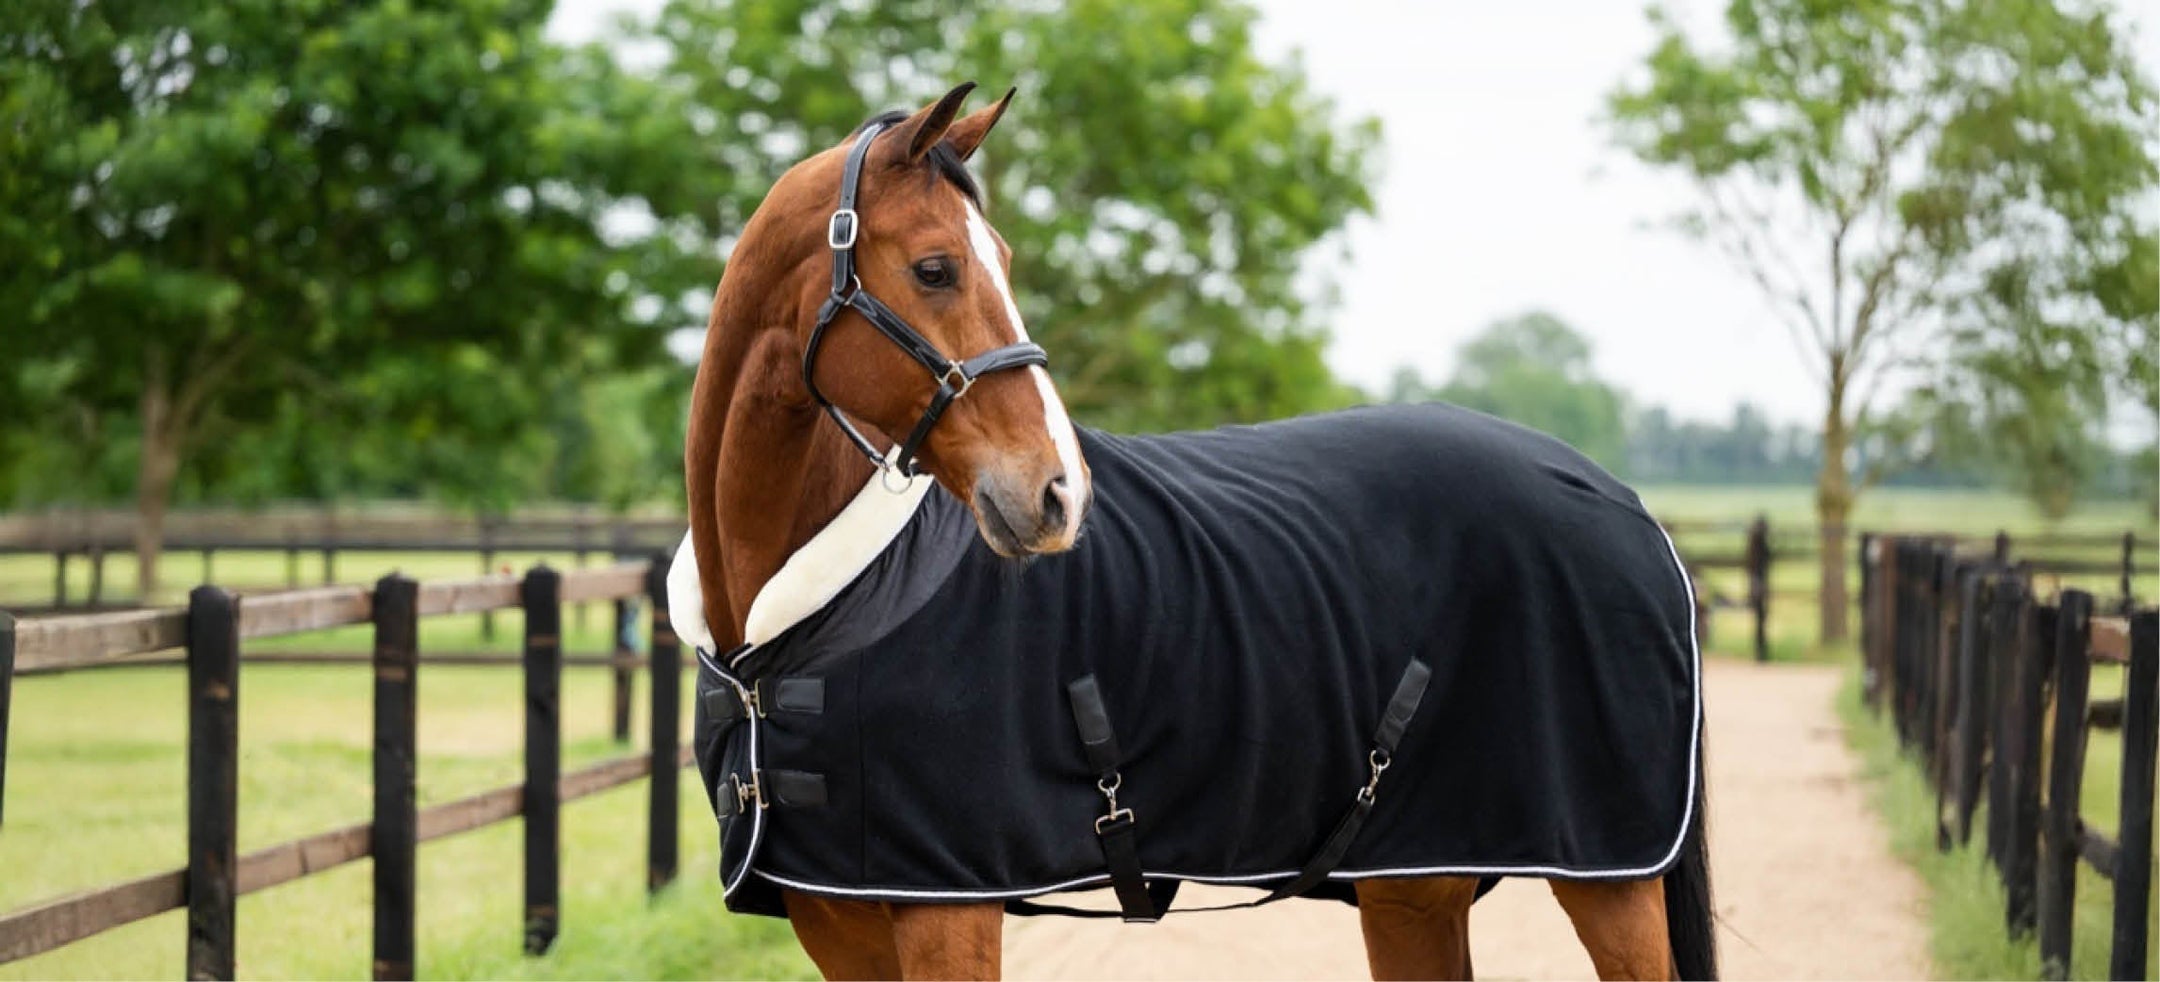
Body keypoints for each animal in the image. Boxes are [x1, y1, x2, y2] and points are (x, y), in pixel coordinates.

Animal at [671, 82, 1715, 981]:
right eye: (936, 268)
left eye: (999, 259)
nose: (1058, 493)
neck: (796, 629)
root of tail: (1625, 504)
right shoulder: (836, 916)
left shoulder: (945, 909)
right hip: (1417, 878)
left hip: (1610, 884)